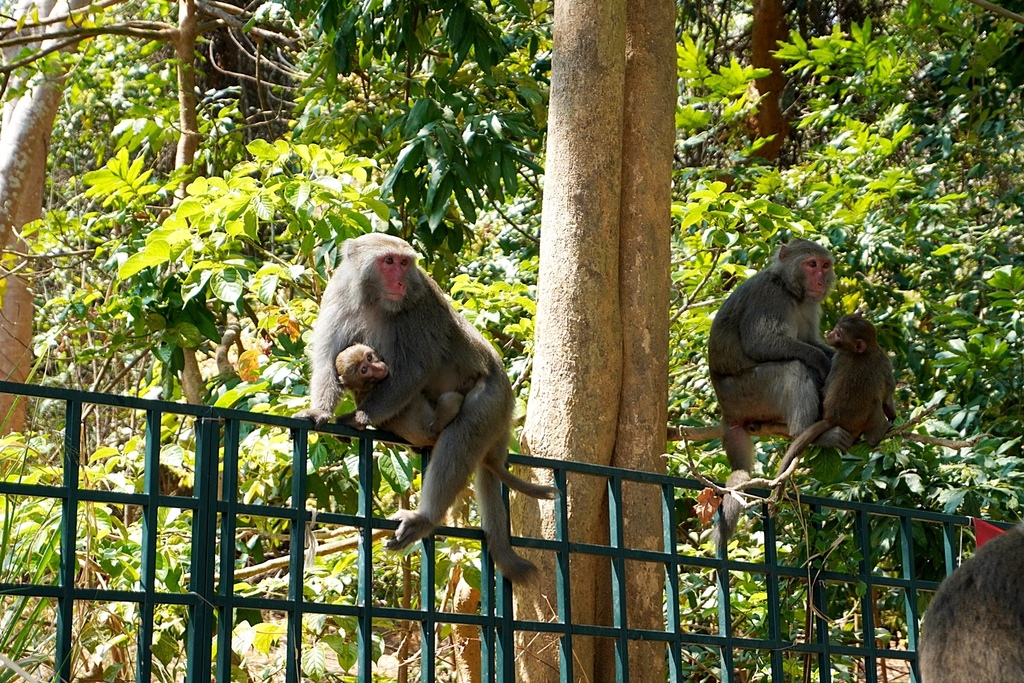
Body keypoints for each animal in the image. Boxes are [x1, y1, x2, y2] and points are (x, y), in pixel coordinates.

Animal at [708, 239, 843, 548]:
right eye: (811, 264)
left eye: (825, 265)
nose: (820, 280)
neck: (791, 292)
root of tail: (727, 412)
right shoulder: (768, 299)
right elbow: (762, 343)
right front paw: (820, 362)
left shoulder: (810, 306)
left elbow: (810, 340)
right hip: (747, 394)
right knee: (791, 368)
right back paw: (807, 432)